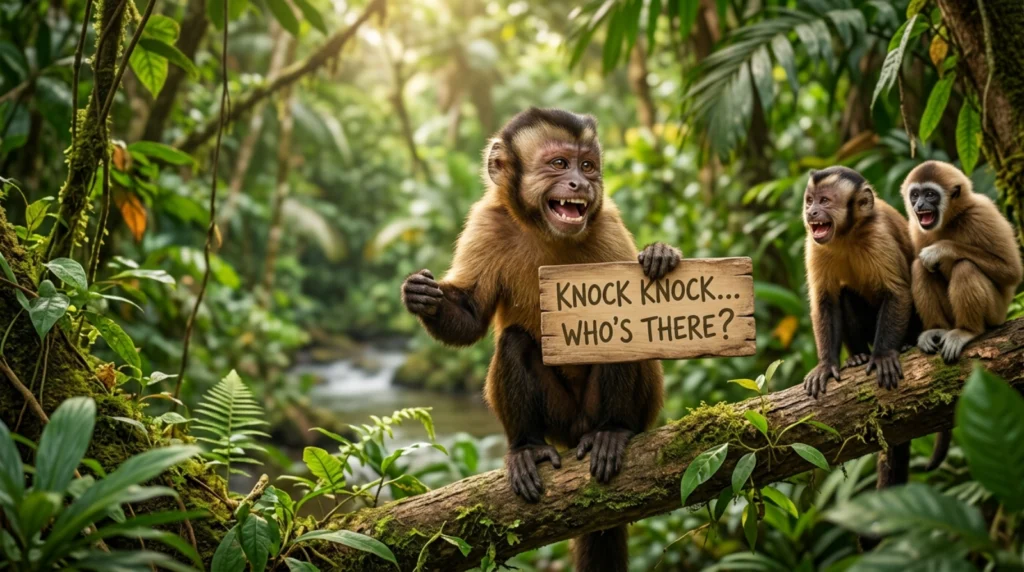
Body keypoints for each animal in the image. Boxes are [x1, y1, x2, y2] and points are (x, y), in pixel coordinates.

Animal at [401, 108, 678, 572]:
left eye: (588, 166)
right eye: (559, 164)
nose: (580, 184)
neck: (545, 229)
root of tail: (580, 429)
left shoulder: (607, 222)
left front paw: (661, 255)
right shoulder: (486, 221)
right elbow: (473, 317)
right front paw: (426, 299)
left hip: (616, 412)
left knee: (617, 332)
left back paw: (613, 431)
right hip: (560, 419)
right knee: (515, 342)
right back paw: (527, 447)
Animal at [901, 160, 1022, 472]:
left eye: (930, 195)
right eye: (915, 194)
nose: (919, 205)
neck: (950, 221)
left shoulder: (983, 213)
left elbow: (1012, 271)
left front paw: (941, 250)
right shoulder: (915, 227)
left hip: (995, 311)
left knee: (964, 265)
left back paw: (968, 331)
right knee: (920, 267)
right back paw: (936, 330)